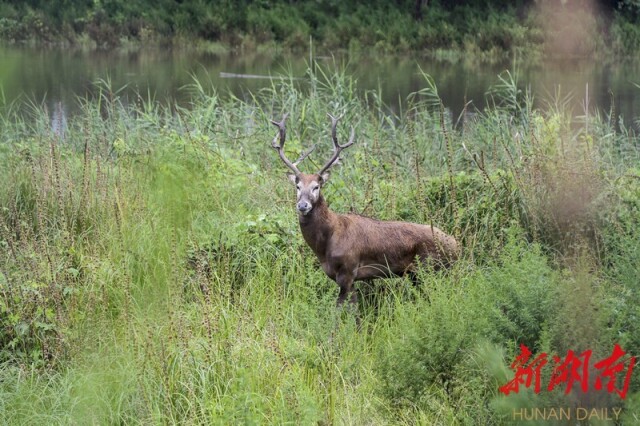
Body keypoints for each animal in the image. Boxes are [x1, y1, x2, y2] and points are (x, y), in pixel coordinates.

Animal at [272, 113, 460, 310]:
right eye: (297, 186)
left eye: (316, 186)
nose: (303, 205)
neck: (325, 245)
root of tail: (456, 245)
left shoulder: (348, 269)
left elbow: (343, 310)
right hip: (419, 274)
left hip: (432, 267)